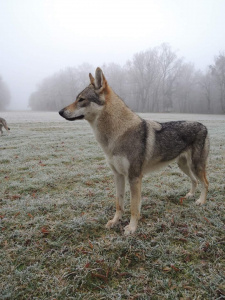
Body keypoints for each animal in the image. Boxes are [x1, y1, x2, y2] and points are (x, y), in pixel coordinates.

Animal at [58, 67, 209, 234]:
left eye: (81, 99)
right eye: (76, 98)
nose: (60, 111)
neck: (116, 135)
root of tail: (204, 126)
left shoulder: (134, 177)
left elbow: (133, 207)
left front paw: (131, 228)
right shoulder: (118, 175)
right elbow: (119, 203)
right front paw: (115, 222)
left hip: (195, 166)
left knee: (206, 183)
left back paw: (201, 201)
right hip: (183, 166)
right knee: (195, 181)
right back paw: (190, 195)